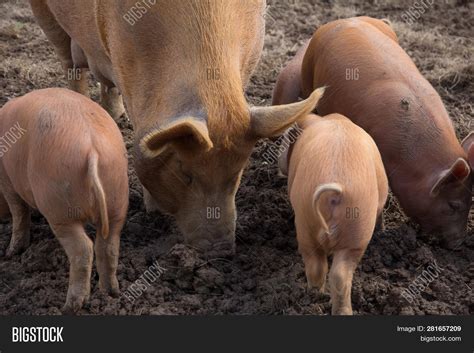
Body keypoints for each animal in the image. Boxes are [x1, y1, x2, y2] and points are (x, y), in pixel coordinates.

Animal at [0, 87, 130, 310]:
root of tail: (92, 148)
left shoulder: (8, 183)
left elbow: (19, 213)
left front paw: (11, 253)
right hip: (118, 198)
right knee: (109, 246)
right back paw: (111, 294)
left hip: (59, 209)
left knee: (84, 249)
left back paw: (70, 307)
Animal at [272, 15, 472, 248]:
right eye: (453, 205)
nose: (459, 243)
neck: (412, 162)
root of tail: (346, 19)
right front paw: (379, 233)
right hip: (307, 75)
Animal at [280, 113, 386, 314]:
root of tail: (335, 190)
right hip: (357, 229)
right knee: (338, 274)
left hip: (306, 220)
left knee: (319, 267)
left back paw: (316, 297)